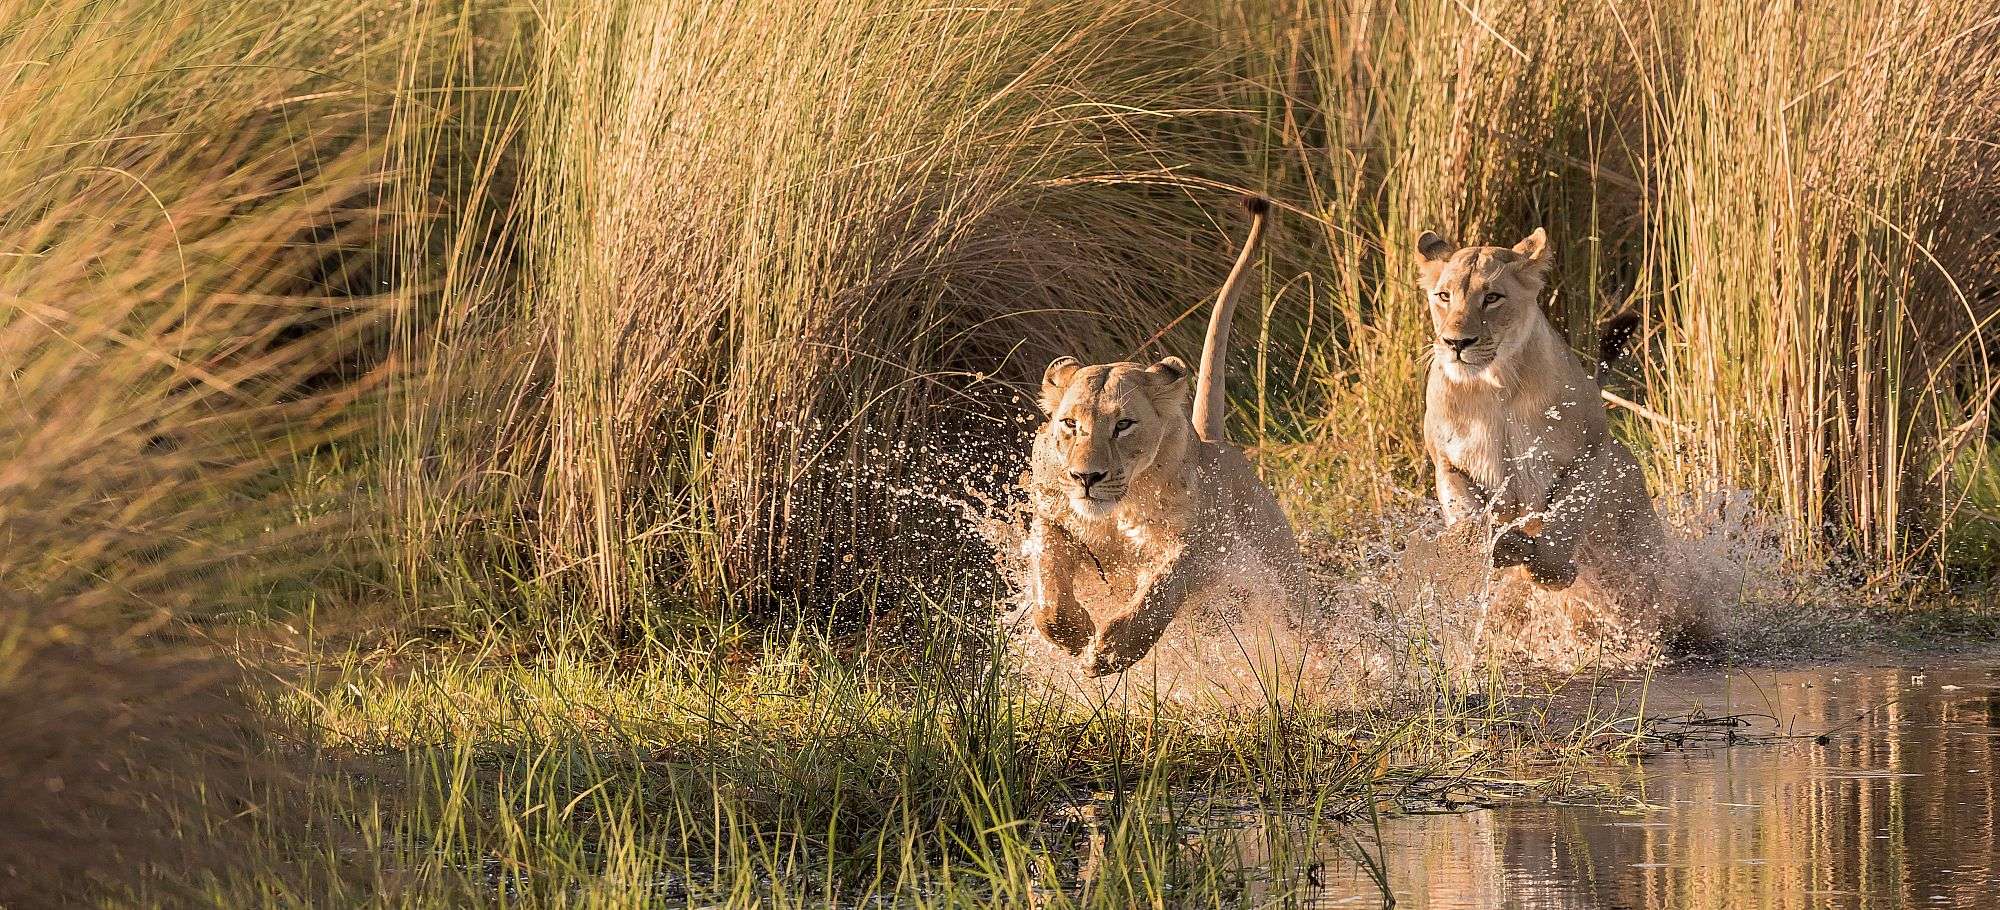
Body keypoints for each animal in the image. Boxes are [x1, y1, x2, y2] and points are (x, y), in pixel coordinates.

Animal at [1025, 196, 1307, 678]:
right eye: (1070, 424)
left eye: (1123, 425)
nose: (1086, 478)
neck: (1119, 509)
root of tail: (1217, 443)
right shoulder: (1054, 519)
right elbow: (1049, 586)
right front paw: (1075, 636)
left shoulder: (1197, 544)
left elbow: (1161, 588)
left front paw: (1114, 648)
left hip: (1279, 570)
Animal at [1413, 227, 1668, 595]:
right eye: (1444, 296)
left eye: (1492, 297)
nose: (1456, 343)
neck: (1495, 388)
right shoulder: (1448, 462)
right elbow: (1468, 515)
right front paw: (1494, 546)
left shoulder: (1591, 453)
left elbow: (1566, 516)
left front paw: (1550, 571)